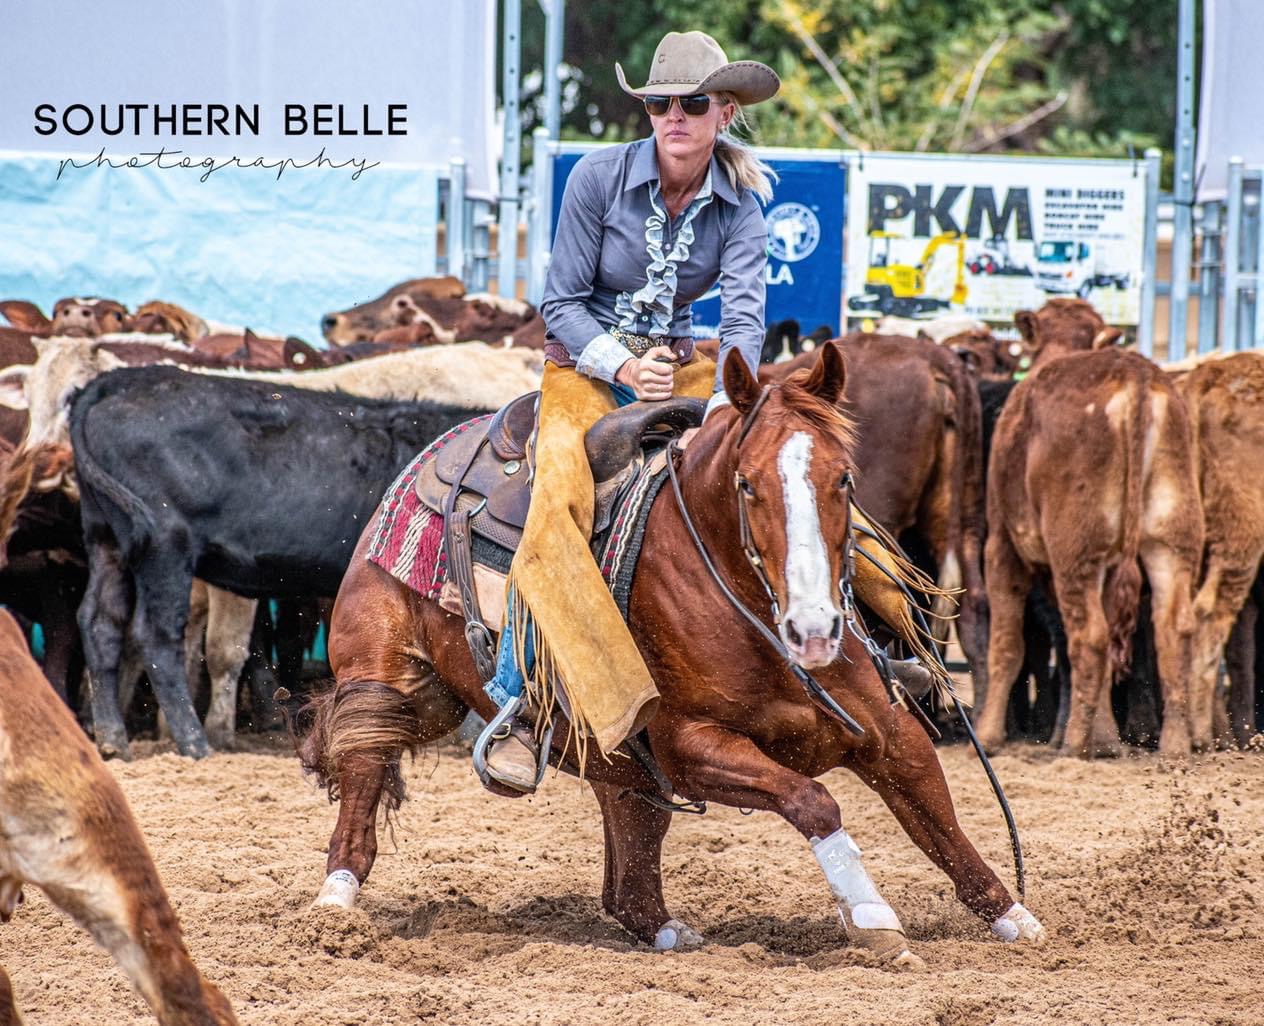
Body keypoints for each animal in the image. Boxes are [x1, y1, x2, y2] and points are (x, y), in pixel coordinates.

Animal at [71, 366, 488, 759]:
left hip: (106, 540)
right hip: (165, 544)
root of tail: (122, 379)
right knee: (156, 635)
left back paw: (112, 739)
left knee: (100, 624)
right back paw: (194, 741)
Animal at [298, 342, 1045, 963]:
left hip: (606, 755)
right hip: (385, 671)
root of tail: (438, 450)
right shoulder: (691, 747)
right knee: (364, 762)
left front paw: (1017, 919)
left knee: (628, 874)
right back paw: (336, 901)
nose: (814, 628)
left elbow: (940, 821)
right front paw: (873, 918)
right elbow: (814, 801)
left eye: (844, 479)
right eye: (747, 484)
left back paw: (667, 931)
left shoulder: (887, 730)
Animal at [975, 347, 1203, 757]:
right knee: (1172, 628)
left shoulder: (1002, 547)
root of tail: (1135, 374)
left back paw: (1074, 742)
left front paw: (986, 737)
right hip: (1171, 540)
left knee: (1090, 638)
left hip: (1076, 553)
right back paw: (1174, 742)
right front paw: (1107, 737)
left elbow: (1006, 645)